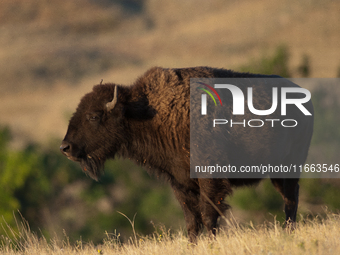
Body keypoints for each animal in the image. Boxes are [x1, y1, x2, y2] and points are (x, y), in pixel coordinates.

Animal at [59, 66, 312, 242]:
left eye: (93, 116)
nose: (65, 148)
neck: (146, 112)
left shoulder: (210, 178)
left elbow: (209, 214)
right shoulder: (180, 182)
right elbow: (192, 220)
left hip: (289, 167)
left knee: (291, 198)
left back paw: (289, 230)